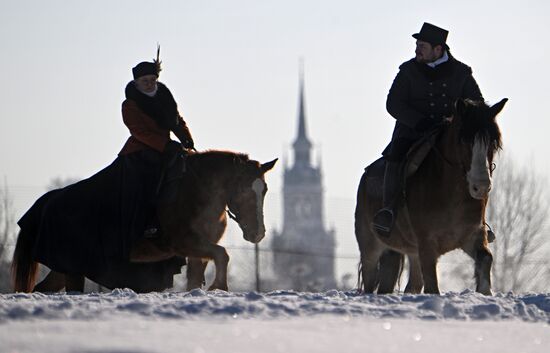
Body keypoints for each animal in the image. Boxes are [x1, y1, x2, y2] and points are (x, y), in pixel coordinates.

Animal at [11, 151, 280, 292]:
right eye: (244, 192)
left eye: (265, 190)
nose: (257, 234)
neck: (198, 191)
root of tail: (48, 202)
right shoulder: (185, 242)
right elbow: (223, 254)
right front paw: (219, 287)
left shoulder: (199, 250)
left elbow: (199, 275)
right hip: (73, 267)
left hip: (64, 267)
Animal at [358, 98, 508, 294]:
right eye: (463, 141)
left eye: (494, 143)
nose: (481, 186)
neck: (452, 195)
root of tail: (366, 175)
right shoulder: (427, 244)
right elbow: (432, 286)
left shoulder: (471, 235)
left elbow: (485, 259)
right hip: (370, 246)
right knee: (370, 280)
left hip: (407, 251)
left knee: (407, 283)